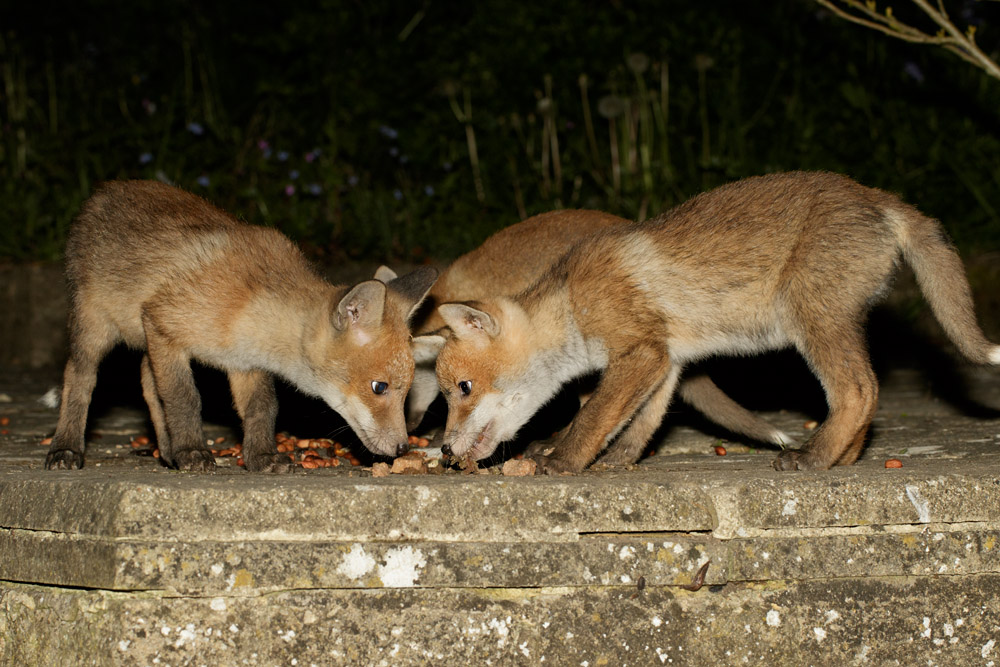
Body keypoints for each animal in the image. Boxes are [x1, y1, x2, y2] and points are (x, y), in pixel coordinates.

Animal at [44, 180, 436, 472]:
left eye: (406, 390)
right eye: (379, 387)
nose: (402, 447)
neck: (248, 307)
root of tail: (107, 188)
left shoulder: (245, 363)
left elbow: (263, 408)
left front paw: (262, 456)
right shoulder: (165, 327)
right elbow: (184, 399)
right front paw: (193, 451)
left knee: (146, 381)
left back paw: (166, 451)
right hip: (95, 329)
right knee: (79, 380)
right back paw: (67, 447)